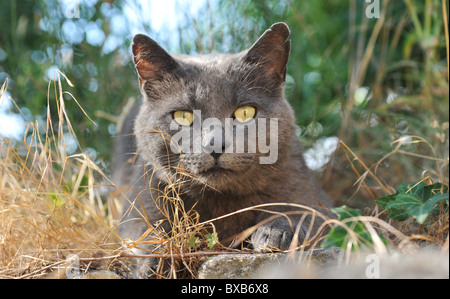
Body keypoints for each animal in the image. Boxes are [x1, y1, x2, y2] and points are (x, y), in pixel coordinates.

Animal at [114, 22, 332, 278]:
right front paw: (156, 263)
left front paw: (276, 233)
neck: (222, 203)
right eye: (183, 116)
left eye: (245, 112)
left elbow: (303, 211)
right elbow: (147, 233)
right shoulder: (142, 199)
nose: (215, 144)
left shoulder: (310, 193)